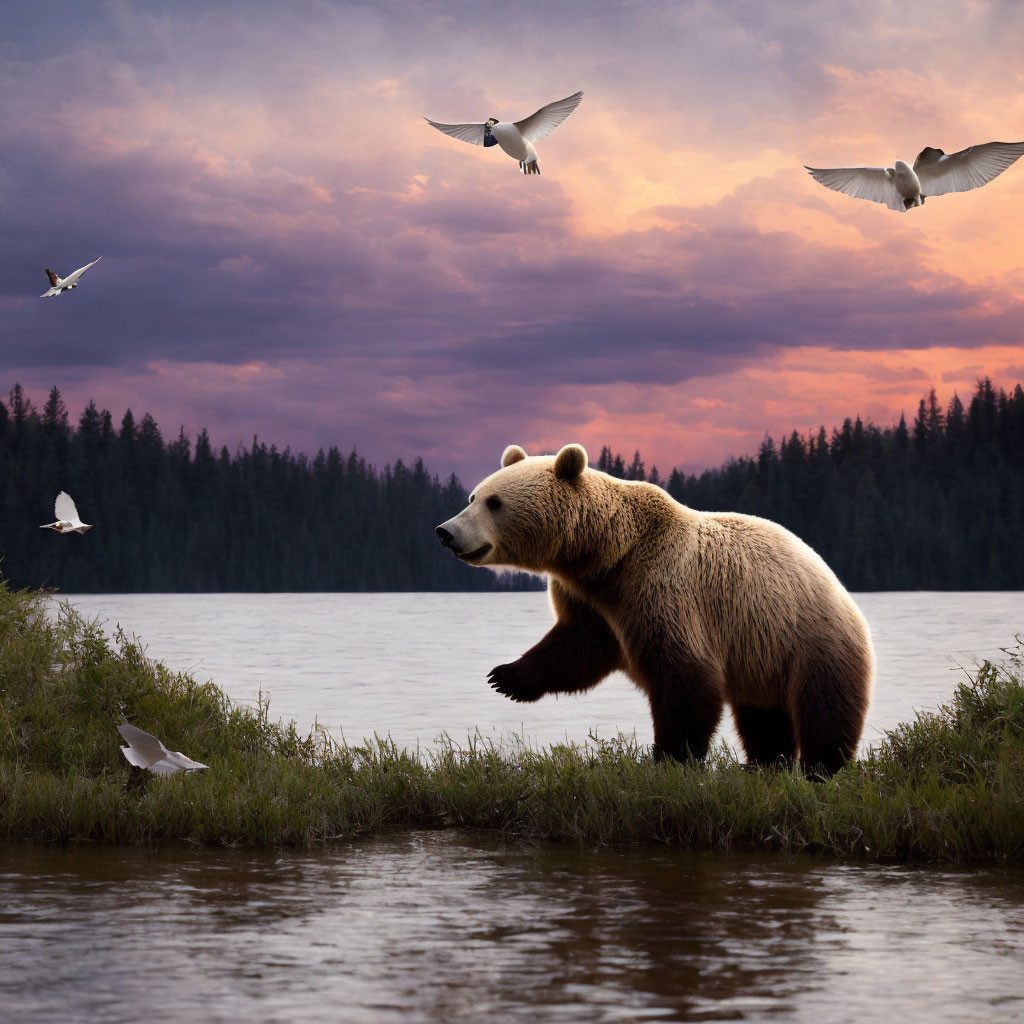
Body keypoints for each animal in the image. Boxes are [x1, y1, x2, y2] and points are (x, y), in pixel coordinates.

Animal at [436, 442, 876, 774]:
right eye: (473, 496)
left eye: (494, 502)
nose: (446, 531)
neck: (606, 557)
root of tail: (838, 585)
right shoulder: (593, 603)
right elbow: (576, 648)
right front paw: (505, 677)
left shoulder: (662, 589)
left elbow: (684, 676)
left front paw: (671, 758)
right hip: (762, 653)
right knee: (762, 715)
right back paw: (764, 763)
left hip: (812, 638)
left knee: (825, 707)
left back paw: (820, 767)